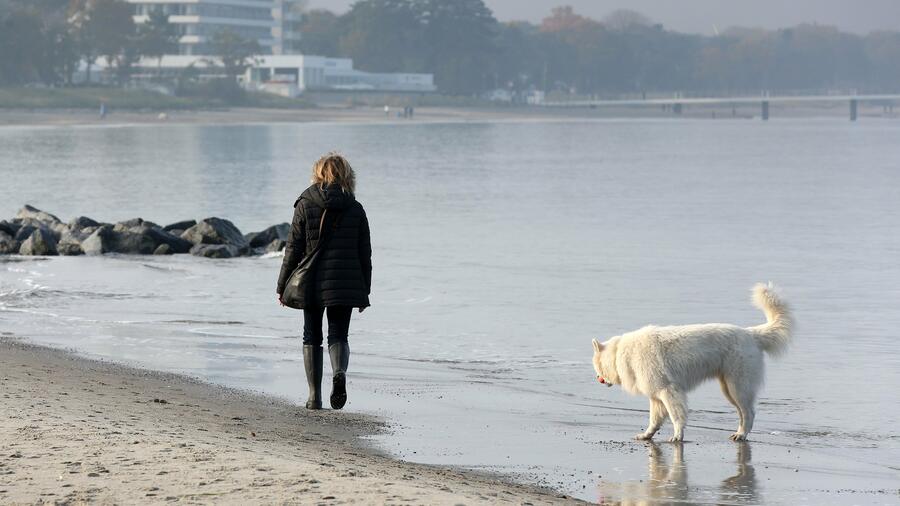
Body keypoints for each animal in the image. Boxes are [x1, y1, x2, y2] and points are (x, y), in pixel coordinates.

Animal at [596, 284, 792, 442]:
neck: (619, 353)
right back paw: (739, 433)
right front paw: (646, 435)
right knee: (743, 413)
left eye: (596, 367)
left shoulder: (669, 391)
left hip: (738, 387)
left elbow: (677, 417)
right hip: (729, 389)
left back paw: (741, 435)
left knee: (749, 413)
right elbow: (654, 420)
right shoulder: (657, 396)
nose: (598, 379)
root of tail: (751, 334)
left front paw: (677, 436)